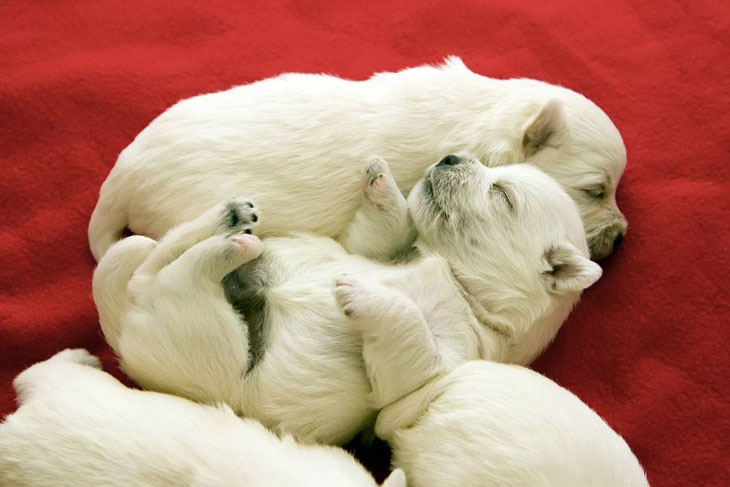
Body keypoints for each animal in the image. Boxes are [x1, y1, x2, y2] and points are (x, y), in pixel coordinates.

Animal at [94, 155, 600, 446]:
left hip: (212, 349)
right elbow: (381, 230)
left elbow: (409, 342)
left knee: (179, 277)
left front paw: (363, 292)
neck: (454, 277)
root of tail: (125, 335)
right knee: (154, 258)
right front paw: (383, 184)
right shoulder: (376, 250)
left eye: (502, 195)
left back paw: (234, 244)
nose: (451, 154)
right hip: (155, 274)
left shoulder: (443, 362)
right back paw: (230, 219)